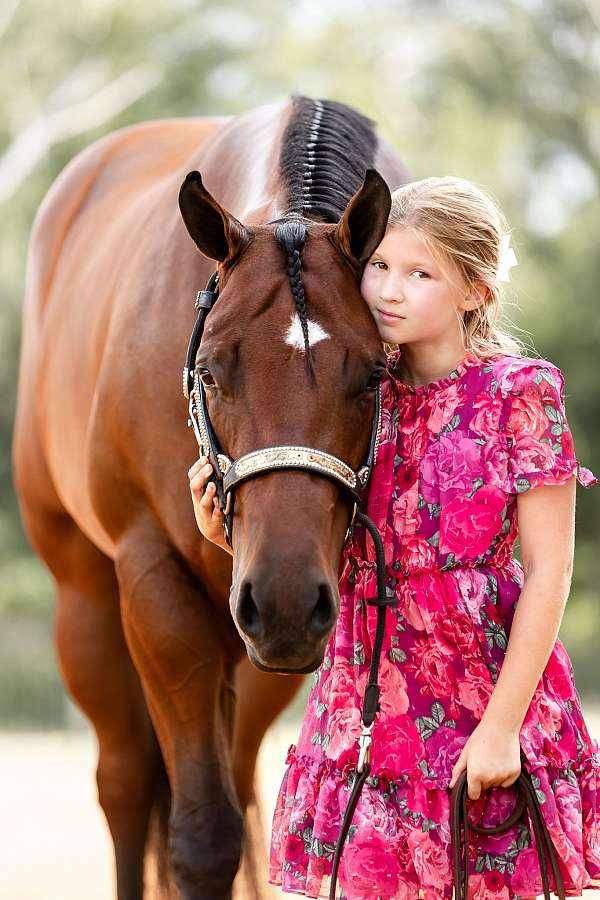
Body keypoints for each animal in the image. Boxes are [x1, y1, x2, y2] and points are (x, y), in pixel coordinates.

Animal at [12, 93, 411, 899]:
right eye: (212, 370)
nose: (283, 596)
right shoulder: (156, 585)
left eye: (371, 376)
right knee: (125, 783)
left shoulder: (281, 628)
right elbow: (199, 838)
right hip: (86, 599)